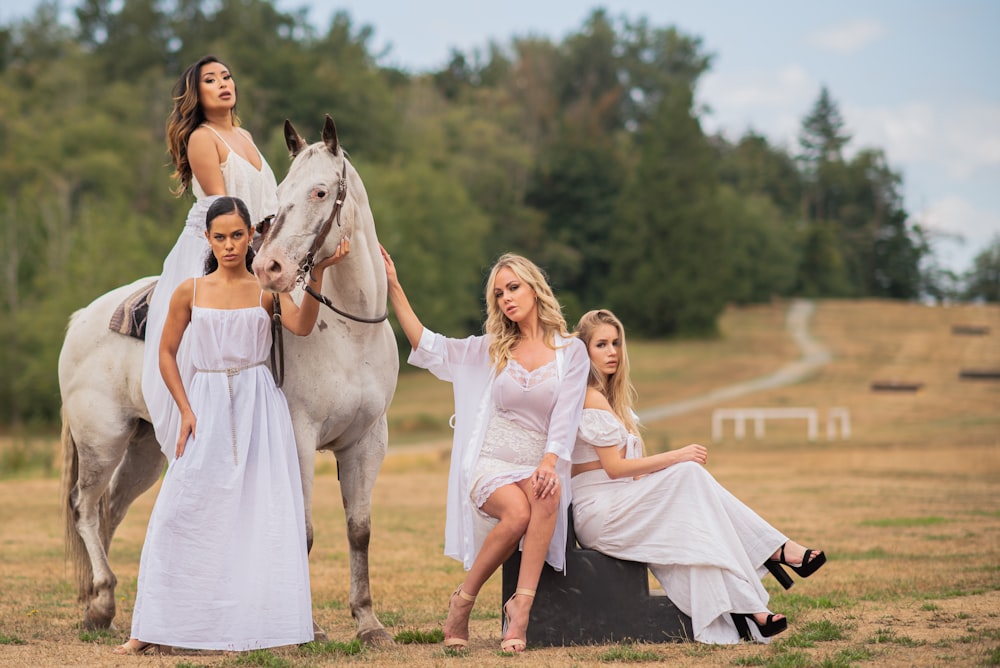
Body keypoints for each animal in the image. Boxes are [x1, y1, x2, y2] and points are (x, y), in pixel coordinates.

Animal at [59, 115, 398, 648]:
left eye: (321, 192)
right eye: (281, 195)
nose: (269, 268)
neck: (348, 332)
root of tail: (82, 319)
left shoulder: (368, 441)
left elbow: (359, 530)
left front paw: (368, 623)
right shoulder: (299, 436)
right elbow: (300, 530)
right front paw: (309, 627)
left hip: (145, 450)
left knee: (110, 507)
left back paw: (105, 607)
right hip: (101, 441)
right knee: (86, 508)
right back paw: (103, 601)